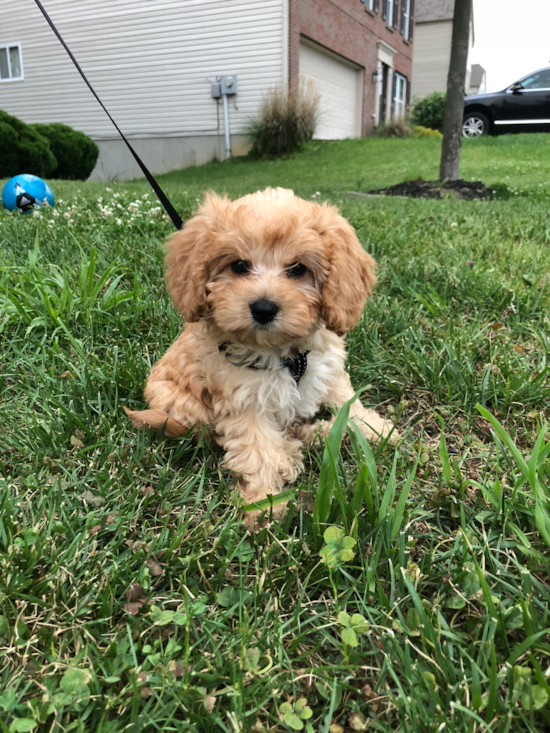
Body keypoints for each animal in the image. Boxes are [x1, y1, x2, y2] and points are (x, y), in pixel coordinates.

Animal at [126, 186, 396, 524]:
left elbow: (346, 399)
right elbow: (258, 451)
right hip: (183, 404)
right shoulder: (246, 400)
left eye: (298, 269)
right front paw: (264, 505)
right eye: (239, 266)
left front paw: (374, 429)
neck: (284, 353)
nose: (264, 308)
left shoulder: (327, 366)